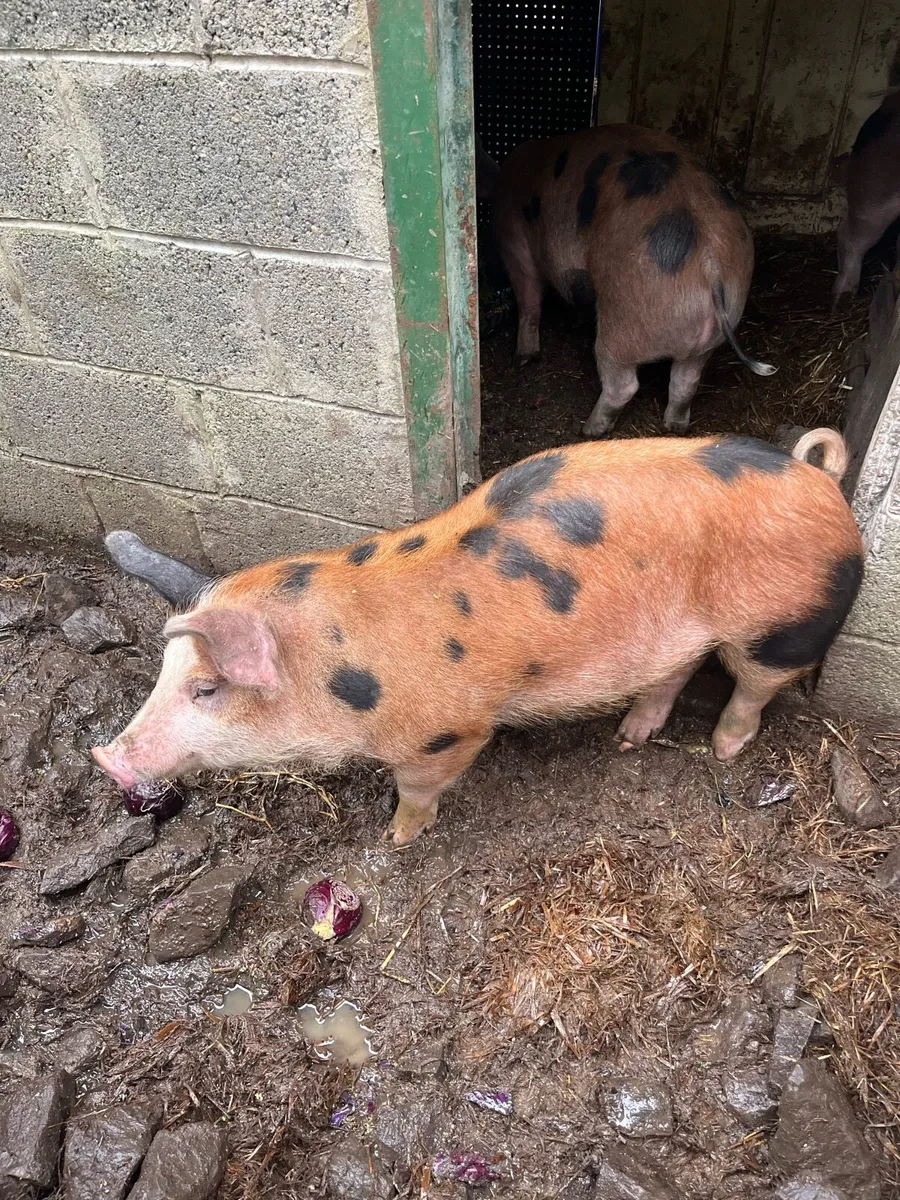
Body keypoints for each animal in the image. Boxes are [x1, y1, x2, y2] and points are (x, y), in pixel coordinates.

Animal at [94, 429, 861, 847]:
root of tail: (821, 478)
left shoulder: (446, 733)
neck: (338, 666)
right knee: (673, 673)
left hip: (786, 624)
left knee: (754, 687)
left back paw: (725, 751)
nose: (104, 756)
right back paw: (629, 738)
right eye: (162, 676)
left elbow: (417, 789)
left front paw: (397, 838)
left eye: (205, 688)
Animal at [489, 125, 774, 437]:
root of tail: (710, 263)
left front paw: (523, 359)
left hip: (624, 318)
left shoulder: (512, 235)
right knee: (686, 380)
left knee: (623, 383)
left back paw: (589, 430)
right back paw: (674, 427)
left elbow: (528, 293)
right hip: (712, 335)